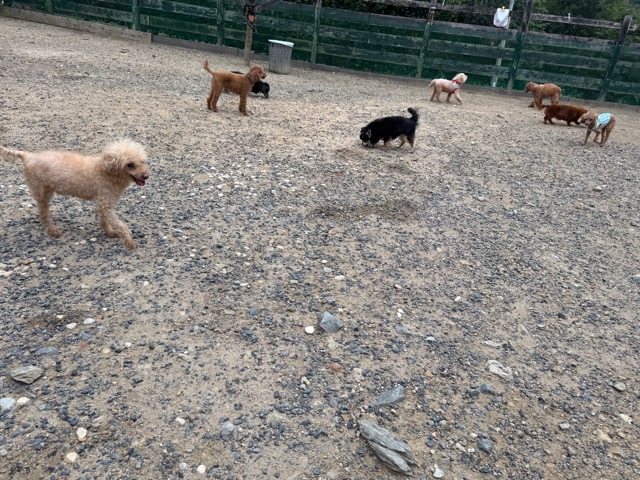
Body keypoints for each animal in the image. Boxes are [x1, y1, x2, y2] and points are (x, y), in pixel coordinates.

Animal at [0, 139, 149, 249]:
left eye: (142, 161)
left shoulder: (103, 204)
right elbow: (121, 225)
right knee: (44, 214)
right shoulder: (105, 203)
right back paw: (52, 231)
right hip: (41, 191)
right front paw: (128, 241)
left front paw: (109, 232)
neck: (107, 171)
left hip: (46, 190)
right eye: (130, 164)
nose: (146, 176)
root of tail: (28, 155)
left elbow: (104, 220)